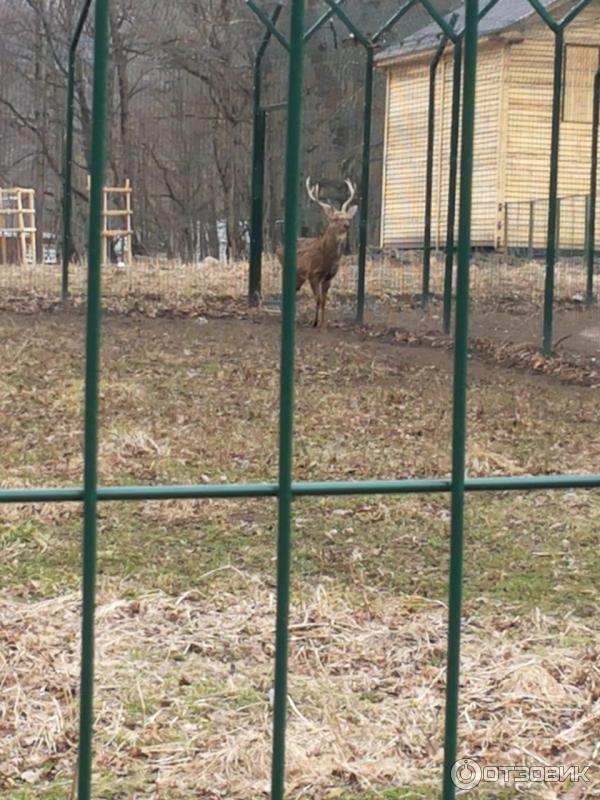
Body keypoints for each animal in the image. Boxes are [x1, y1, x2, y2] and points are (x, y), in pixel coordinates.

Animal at [278, 177, 358, 326]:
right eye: (335, 218)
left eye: (347, 217)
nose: (347, 225)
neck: (327, 258)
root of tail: (278, 249)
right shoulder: (313, 274)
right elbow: (318, 299)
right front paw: (314, 322)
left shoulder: (329, 277)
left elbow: (324, 301)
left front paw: (322, 323)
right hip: (288, 270)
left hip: (299, 276)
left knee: (294, 291)